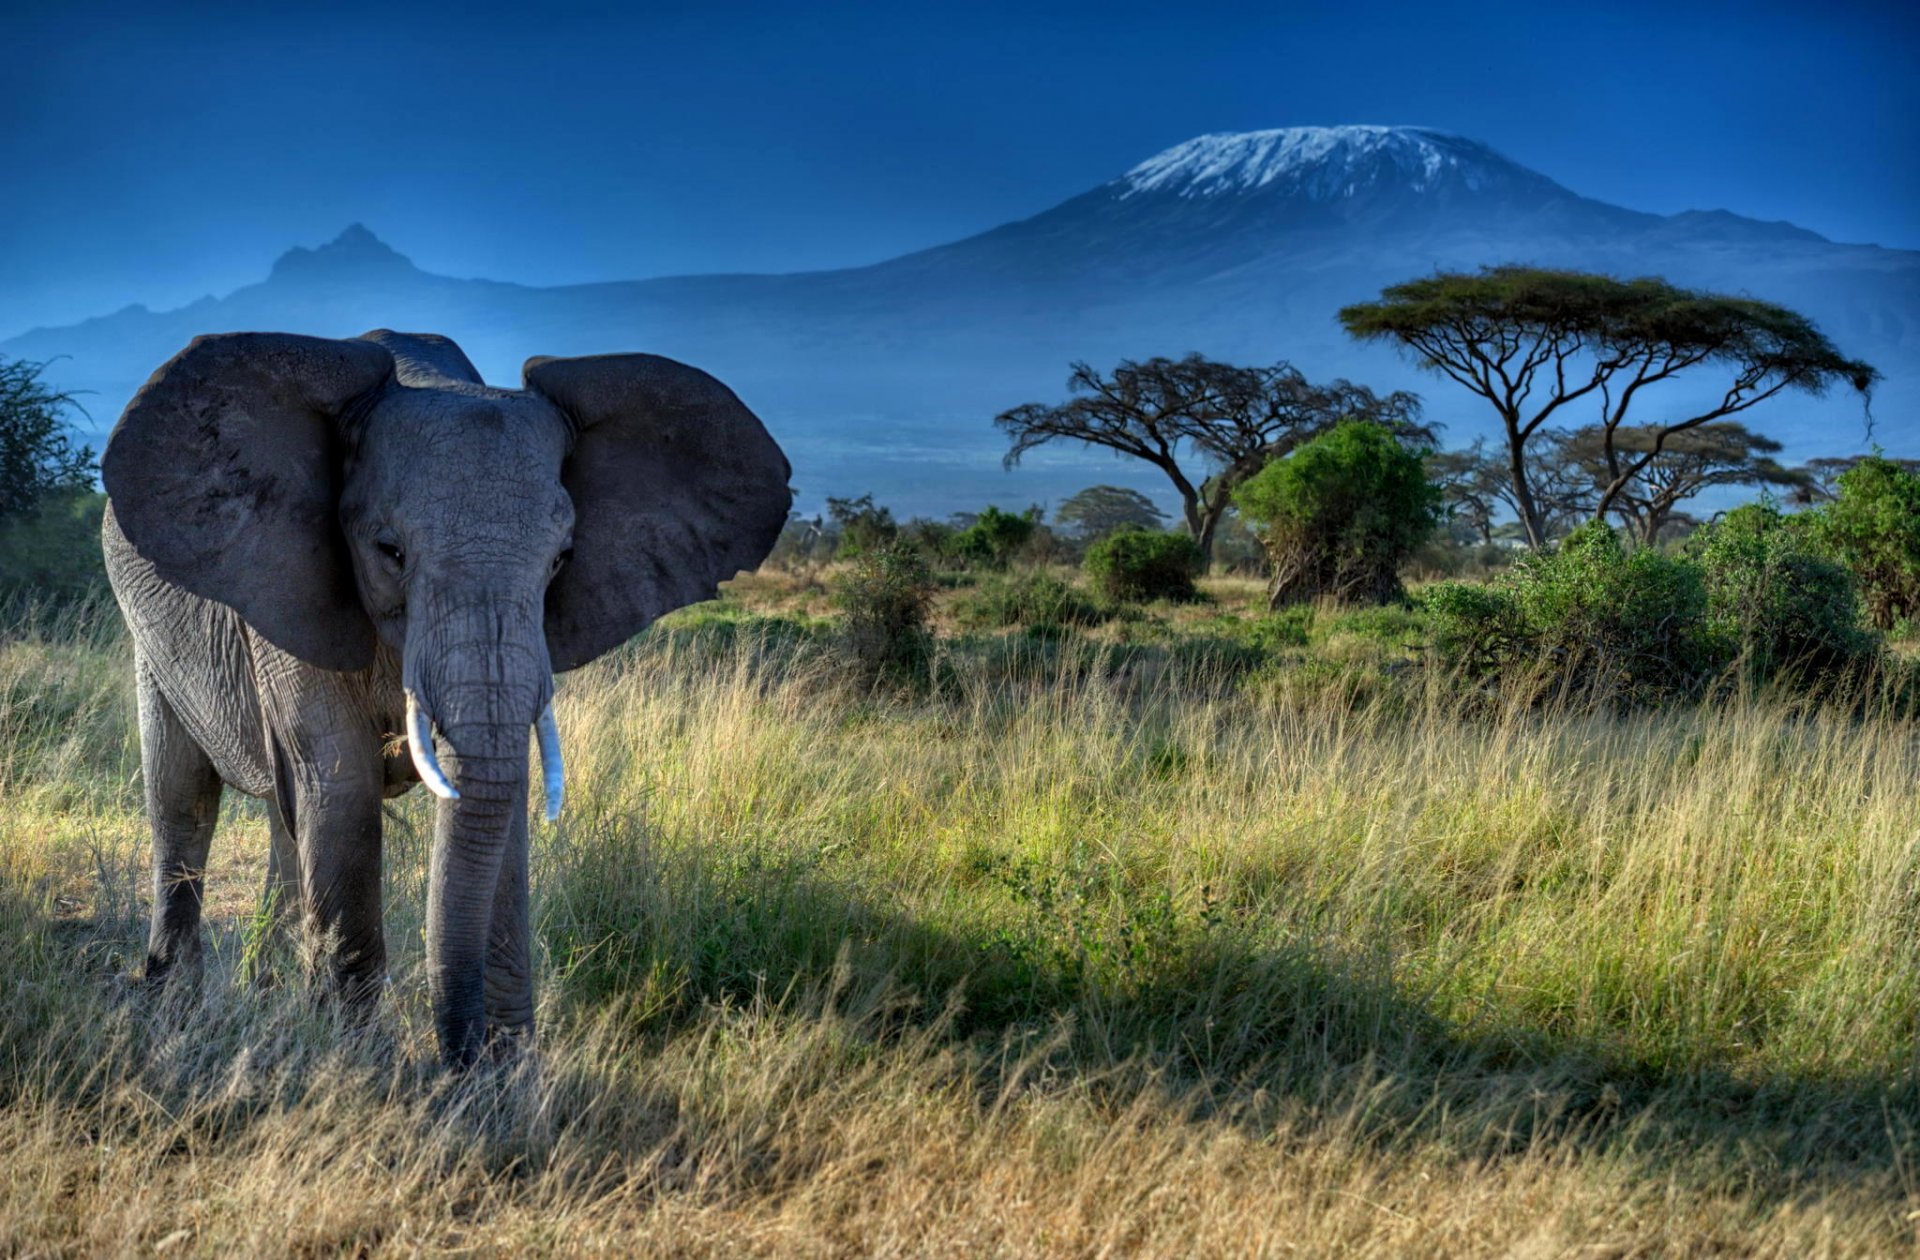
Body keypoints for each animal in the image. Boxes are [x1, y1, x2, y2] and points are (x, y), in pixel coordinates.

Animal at [100, 329, 791, 1068]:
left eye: (561, 560)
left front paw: (507, 1077)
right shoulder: (284, 581)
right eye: (389, 550)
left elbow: (498, 798)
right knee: (183, 795)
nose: (456, 1061)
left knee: (285, 817)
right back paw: (173, 1004)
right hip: (149, 627)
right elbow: (341, 783)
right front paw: (354, 1068)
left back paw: (267, 994)